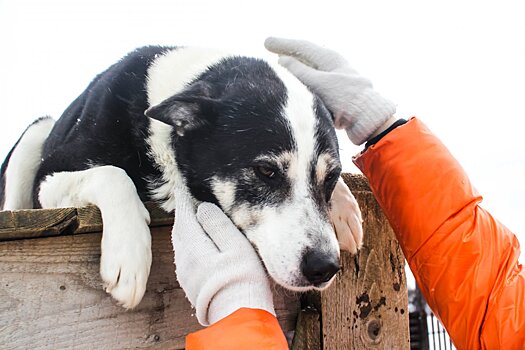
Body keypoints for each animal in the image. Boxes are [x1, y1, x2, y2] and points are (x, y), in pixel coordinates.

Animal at [0, 44, 356, 308]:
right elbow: (114, 174)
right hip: (35, 135)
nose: (324, 267)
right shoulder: (51, 172)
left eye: (330, 177)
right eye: (266, 171)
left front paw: (345, 210)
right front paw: (128, 255)